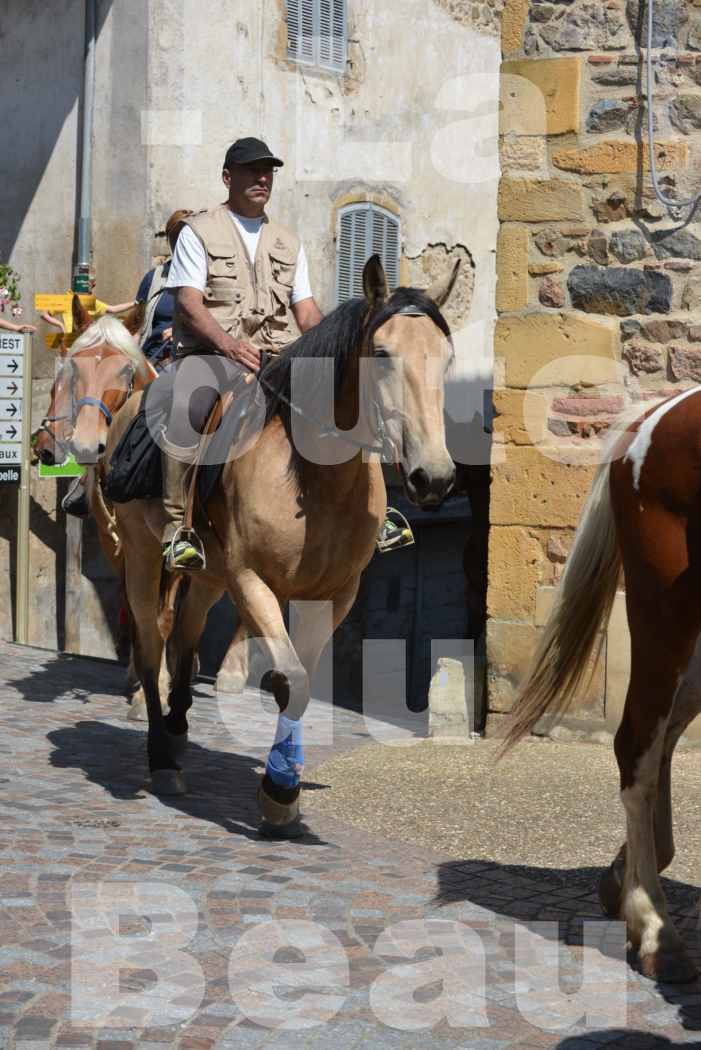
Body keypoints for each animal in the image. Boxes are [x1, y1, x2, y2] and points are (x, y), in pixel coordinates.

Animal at [108, 256, 459, 835]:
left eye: (447, 360)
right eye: (383, 355)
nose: (434, 477)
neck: (312, 480)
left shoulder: (334, 594)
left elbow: (302, 682)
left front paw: (282, 790)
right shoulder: (251, 581)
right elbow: (291, 679)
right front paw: (279, 788)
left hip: (207, 577)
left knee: (184, 643)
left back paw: (179, 734)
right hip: (140, 559)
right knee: (152, 644)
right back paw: (161, 756)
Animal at [503, 388, 701, 982]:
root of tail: (653, 414)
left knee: (663, 732)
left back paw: (627, 880)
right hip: (664, 606)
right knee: (639, 741)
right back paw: (655, 927)